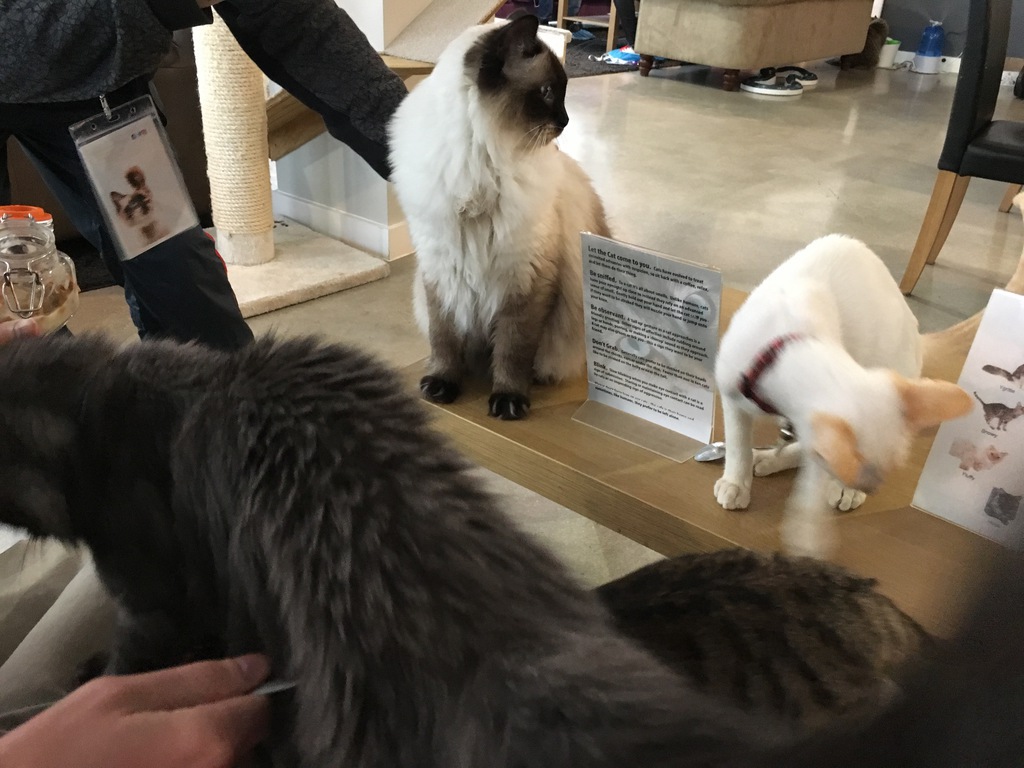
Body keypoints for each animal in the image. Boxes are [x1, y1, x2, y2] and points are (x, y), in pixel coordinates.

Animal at [389, 15, 611, 421]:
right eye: (547, 92)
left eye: (562, 92)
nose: (566, 121)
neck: (481, 162)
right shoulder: (441, 270)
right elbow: (444, 341)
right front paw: (442, 385)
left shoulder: (524, 279)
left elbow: (513, 349)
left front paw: (508, 400)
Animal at [713, 235, 972, 556]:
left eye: (885, 471)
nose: (869, 486)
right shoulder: (730, 392)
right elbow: (738, 442)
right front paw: (736, 482)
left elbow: (809, 481)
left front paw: (808, 531)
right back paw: (765, 459)